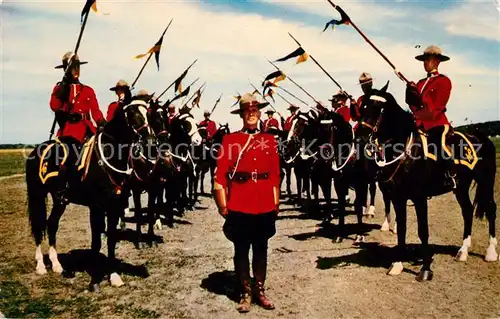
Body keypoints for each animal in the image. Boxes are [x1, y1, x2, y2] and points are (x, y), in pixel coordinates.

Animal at [26, 101, 155, 292]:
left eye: (148, 113)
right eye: (132, 114)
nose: (151, 143)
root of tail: (36, 149)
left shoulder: (114, 206)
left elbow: (111, 239)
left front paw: (114, 276)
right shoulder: (97, 207)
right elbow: (96, 242)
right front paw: (95, 279)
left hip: (59, 200)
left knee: (52, 224)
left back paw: (57, 265)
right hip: (37, 195)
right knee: (38, 226)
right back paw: (41, 265)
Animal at [362, 86, 498, 282]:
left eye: (378, 107)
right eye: (363, 106)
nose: (360, 134)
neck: (406, 153)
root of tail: (483, 138)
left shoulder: (419, 198)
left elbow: (423, 230)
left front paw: (425, 270)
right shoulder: (398, 198)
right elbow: (401, 228)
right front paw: (397, 264)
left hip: (486, 180)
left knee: (491, 208)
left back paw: (491, 252)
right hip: (461, 187)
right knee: (467, 211)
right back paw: (463, 251)